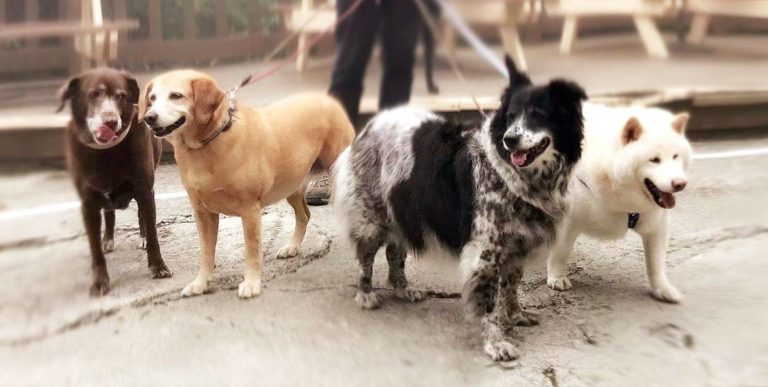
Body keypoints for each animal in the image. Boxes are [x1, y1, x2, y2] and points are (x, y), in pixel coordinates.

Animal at [138, 70, 354, 300]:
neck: (210, 142)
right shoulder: (203, 213)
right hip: (292, 186)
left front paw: (251, 283)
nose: (149, 117)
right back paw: (293, 246)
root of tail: (327, 99)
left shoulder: (250, 209)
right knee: (304, 215)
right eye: (152, 98)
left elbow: (252, 251)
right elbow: (206, 253)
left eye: (176, 95)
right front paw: (201, 283)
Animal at [332, 57, 588, 364]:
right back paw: (366, 295)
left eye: (539, 115)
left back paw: (404, 290)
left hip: (404, 214)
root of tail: (368, 127)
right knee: (365, 259)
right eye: (511, 116)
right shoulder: (486, 251)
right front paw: (496, 343)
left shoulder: (516, 246)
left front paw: (515, 316)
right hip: (372, 219)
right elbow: (489, 301)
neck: (512, 175)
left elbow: (511, 286)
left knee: (394, 254)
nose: (509, 140)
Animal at [544, 103, 688, 304]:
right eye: (654, 160)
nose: (680, 183)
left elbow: (656, 262)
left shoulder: (656, 224)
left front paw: (662, 288)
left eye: (676, 156)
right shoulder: (567, 220)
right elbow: (560, 251)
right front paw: (557, 278)